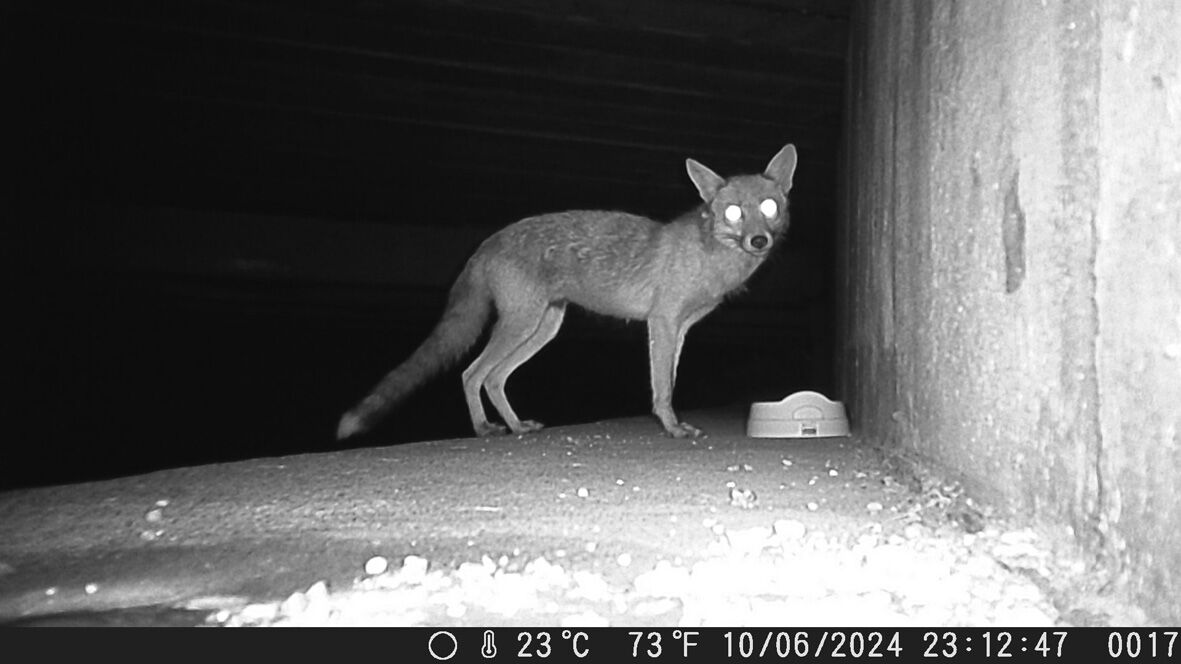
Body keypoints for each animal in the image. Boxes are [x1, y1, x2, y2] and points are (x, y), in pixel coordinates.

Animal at [337, 143, 797, 440]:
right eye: (733, 212)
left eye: (769, 207)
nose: (759, 241)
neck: (710, 259)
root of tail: (488, 241)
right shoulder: (662, 322)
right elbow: (662, 387)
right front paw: (670, 427)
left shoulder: (680, 329)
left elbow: (670, 379)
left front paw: (672, 423)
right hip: (521, 324)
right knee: (472, 374)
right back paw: (483, 429)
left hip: (543, 329)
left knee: (494, 378)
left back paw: (515, 427)